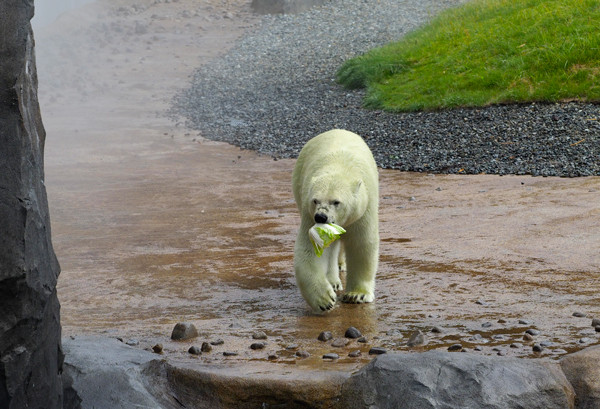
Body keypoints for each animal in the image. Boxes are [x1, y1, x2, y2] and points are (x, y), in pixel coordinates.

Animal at [292, 129, 380, 310]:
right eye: (315, 200)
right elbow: (311, 249)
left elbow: (362, 244)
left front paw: (357, 295)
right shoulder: (308, 214)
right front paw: (325, 300)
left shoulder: (363, 210)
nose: (321, 216)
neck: (339, 167)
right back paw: (333, 281)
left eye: (336, 202)